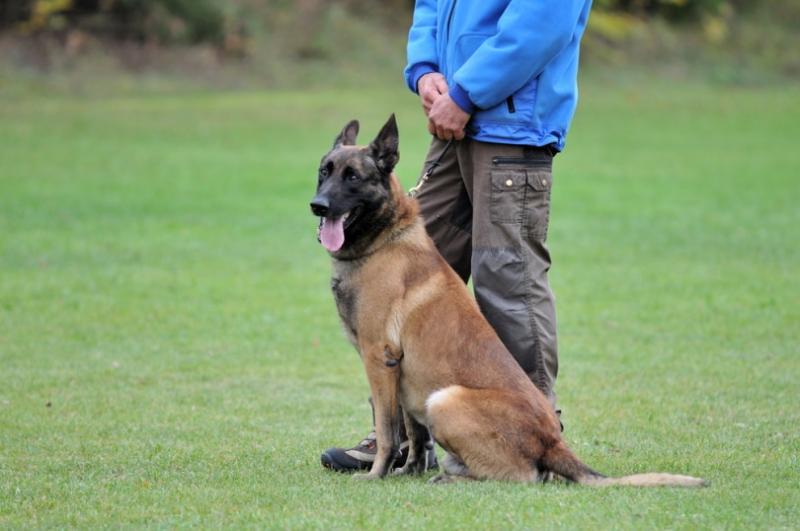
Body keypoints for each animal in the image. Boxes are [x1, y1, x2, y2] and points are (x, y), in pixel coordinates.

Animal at [310, 114, 708, 488]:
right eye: (324, 172)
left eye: (353, 177)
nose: (318, 206)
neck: (383, 238)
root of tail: (552, 442)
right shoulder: (401, 373)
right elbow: (414, 435)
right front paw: (407, 471)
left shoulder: (379, 360)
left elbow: (389, 430)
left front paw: (376, 473)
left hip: (444, 399)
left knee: (524, 476)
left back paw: (454, 479)